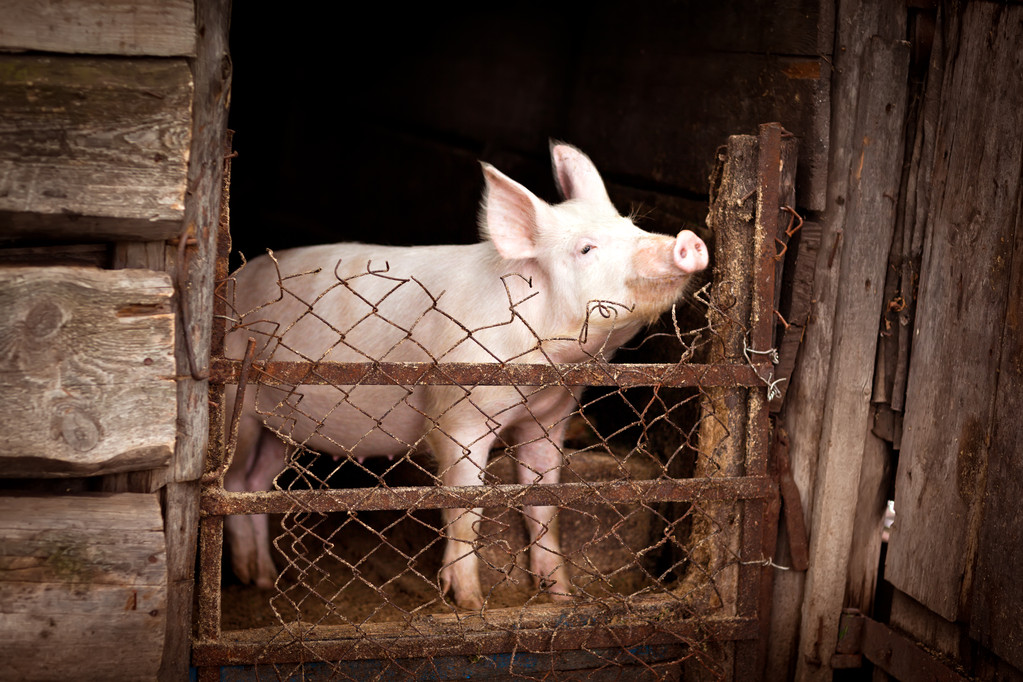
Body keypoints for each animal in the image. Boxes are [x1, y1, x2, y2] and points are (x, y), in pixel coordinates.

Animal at [221, 143, 703, 609]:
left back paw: (263, 579)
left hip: (281, 428)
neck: (545, 372)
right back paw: (251, 578)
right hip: (236, 406)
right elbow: (465, 510)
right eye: (586, 249)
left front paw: (563, 598)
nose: (688, 241)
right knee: (234, 483)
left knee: (257, 485)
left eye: (632, 226)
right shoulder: (457, 415)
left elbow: (545, 507)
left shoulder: (550, 417)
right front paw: (471, 604)